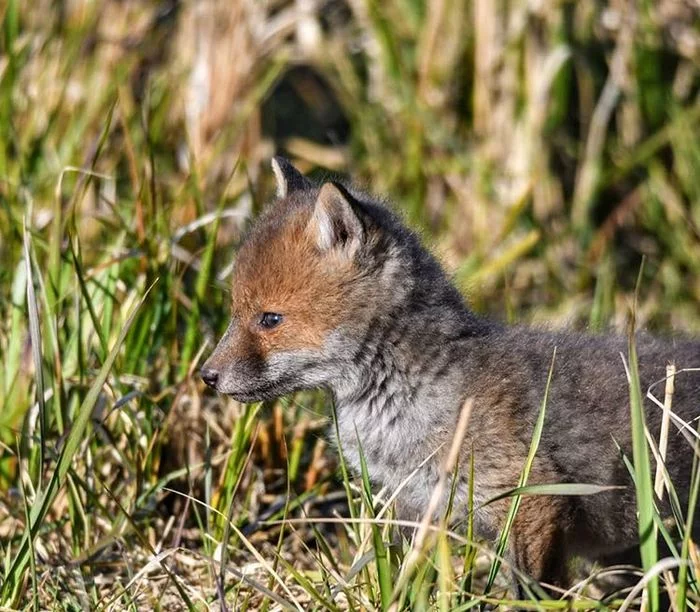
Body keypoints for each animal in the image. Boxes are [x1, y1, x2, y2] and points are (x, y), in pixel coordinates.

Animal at [201, 157, 700, 591]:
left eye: (270, 319)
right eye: (234, 312)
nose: (207, 376)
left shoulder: (531, 498)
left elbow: (531, 592)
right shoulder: (416, 507)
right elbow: (404, 581)